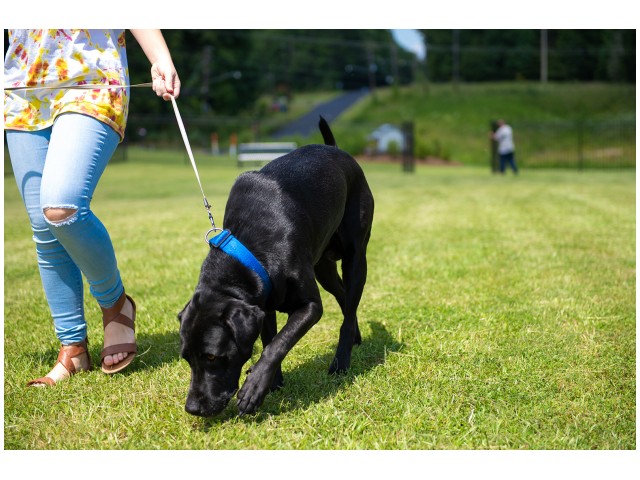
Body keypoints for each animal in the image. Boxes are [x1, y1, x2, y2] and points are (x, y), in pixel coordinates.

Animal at [178, 117, 372, 416]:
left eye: (211, 356)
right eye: (186, 357)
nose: (193, 408)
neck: (249, 249)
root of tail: (337, 150)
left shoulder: (310, 306)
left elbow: (279, 343)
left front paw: (254, 388)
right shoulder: (263, 301)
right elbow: (270, 339)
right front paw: (272, 381)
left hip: (355, 257)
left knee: (349, 306)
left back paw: (341, 361)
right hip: (323, 267)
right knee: (343, 297)